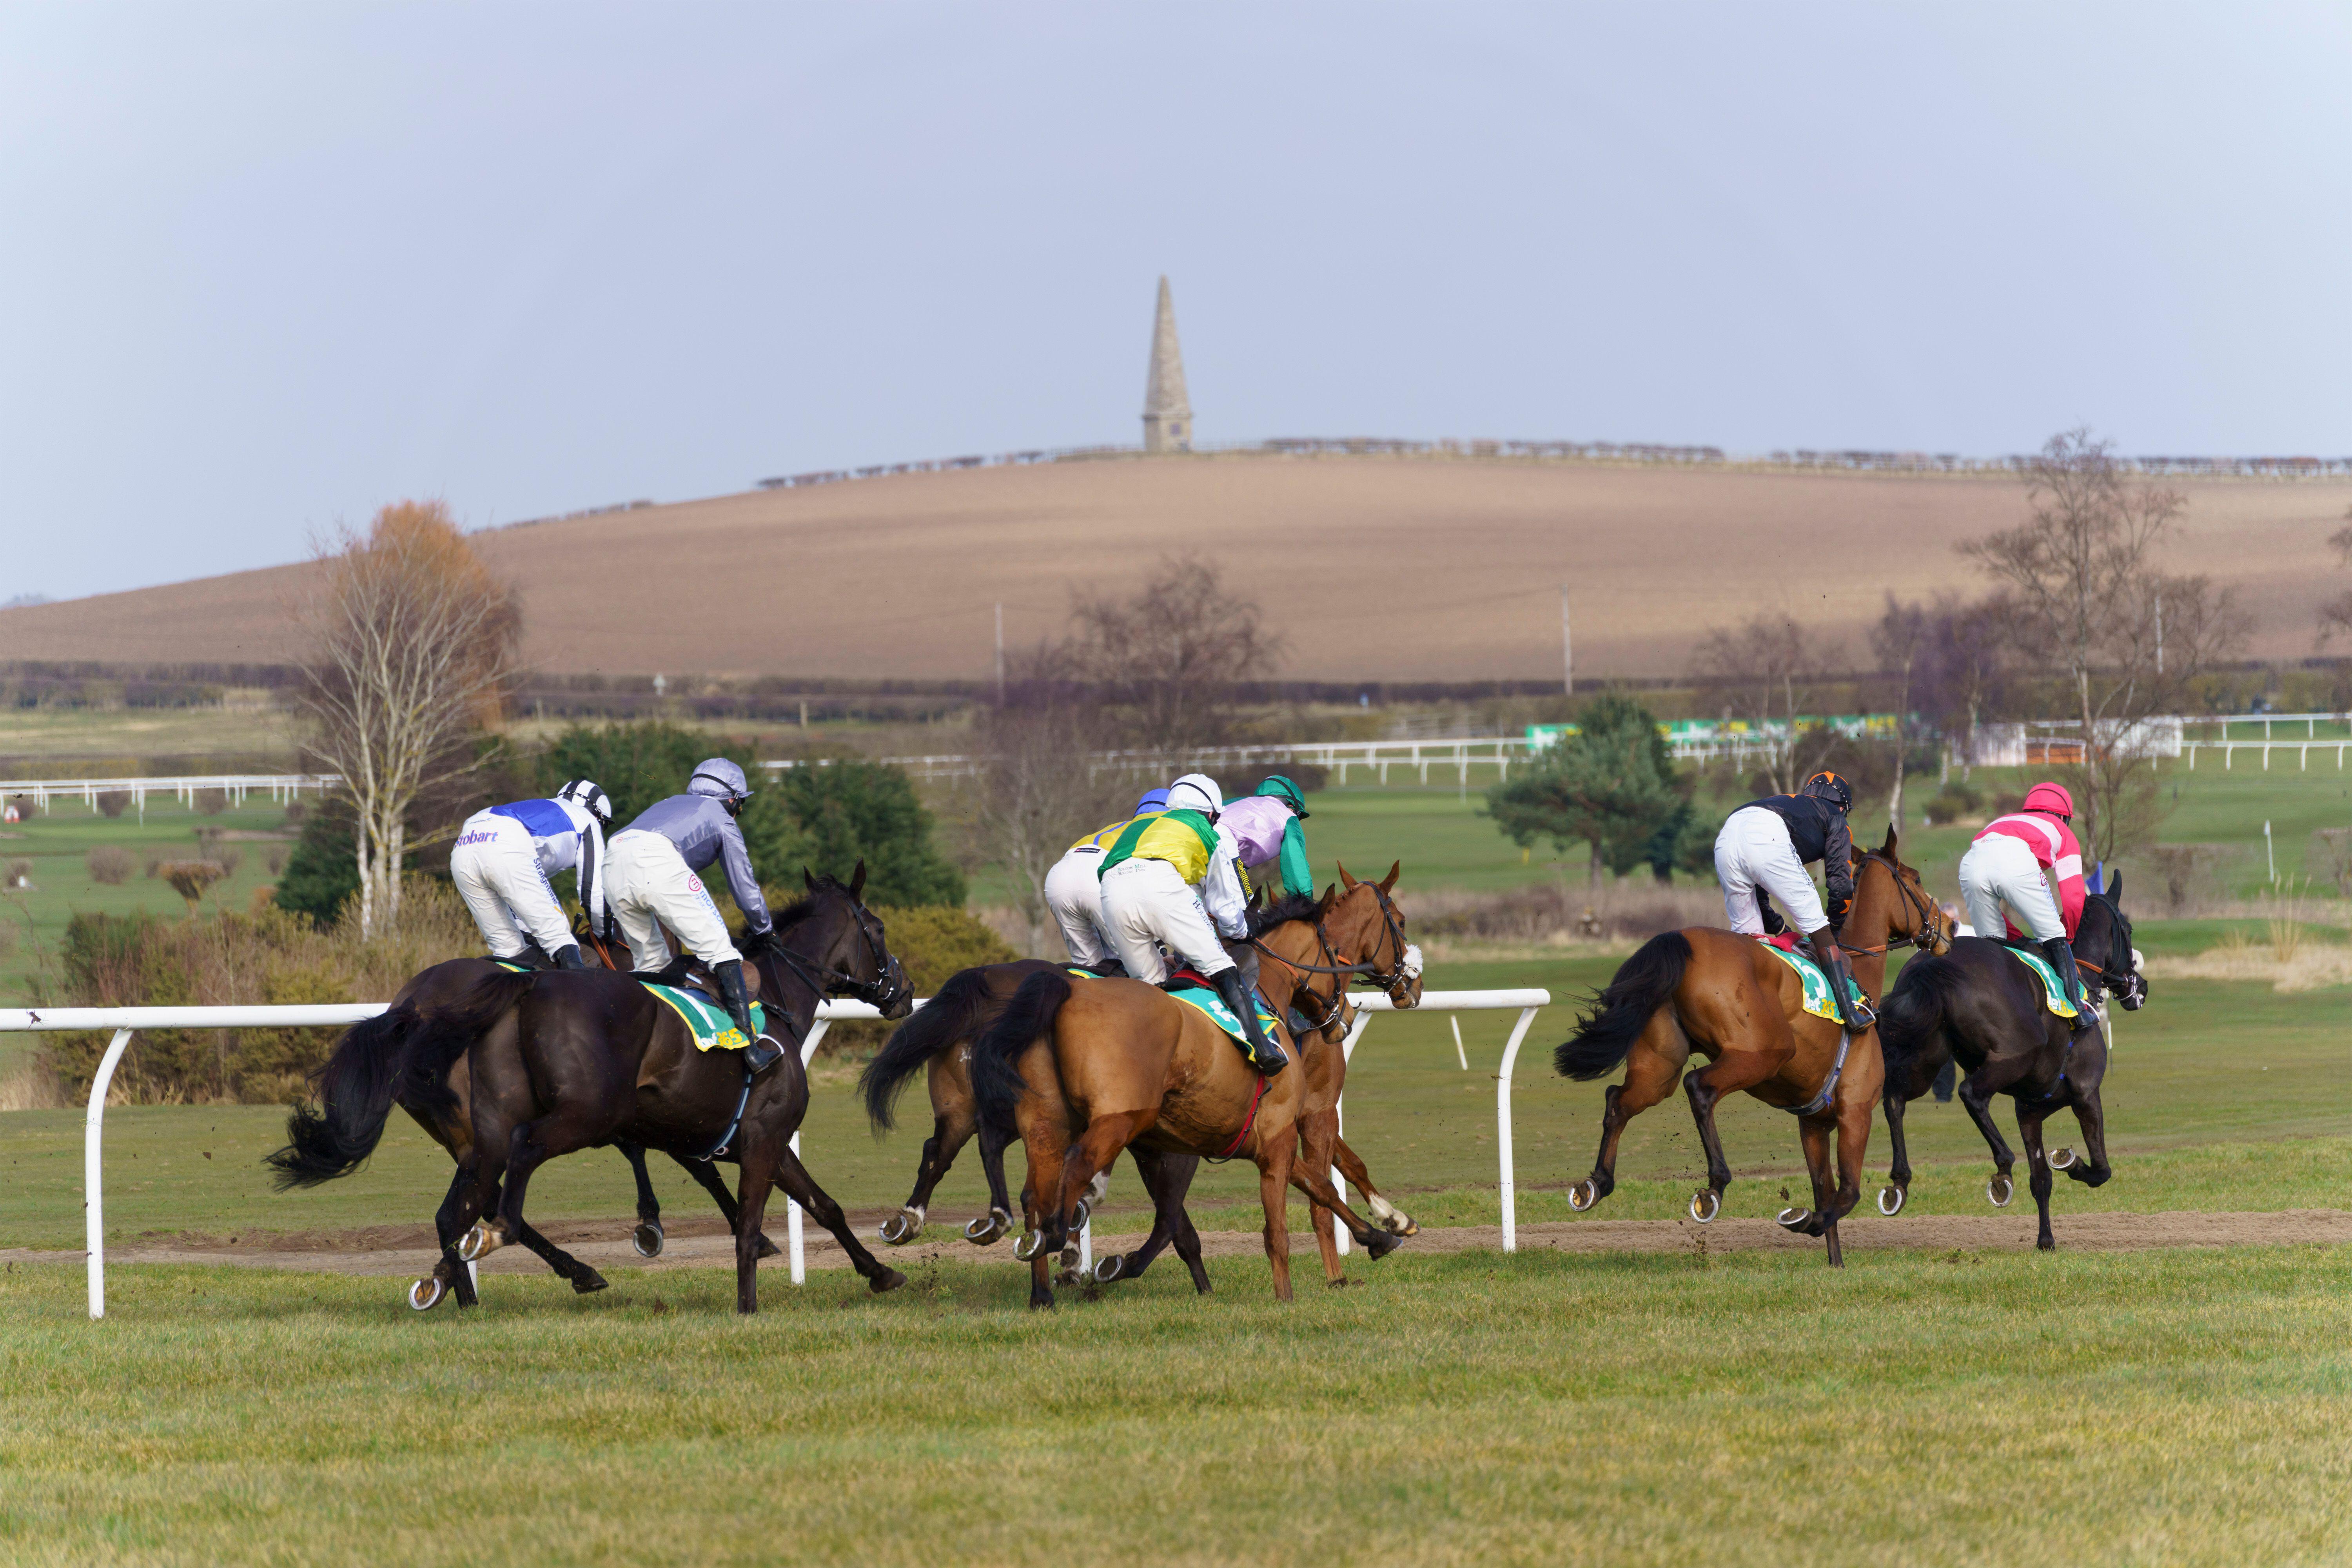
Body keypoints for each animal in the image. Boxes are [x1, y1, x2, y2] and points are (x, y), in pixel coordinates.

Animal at [964, 879, 1402, 1307]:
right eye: (1397, 921)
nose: (1344, 1016)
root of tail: (1064, 990)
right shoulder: (1277, 1134)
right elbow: (1277, 1228)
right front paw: (1287, 1298)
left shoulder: (1258, 1138)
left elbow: (1321, 1186)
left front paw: (1380, 1236)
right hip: (1118, 1121)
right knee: (1076, 1166)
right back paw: (1056, 1236)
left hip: (1045, 1122)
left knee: (1034, 1194)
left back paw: (1040, 1285)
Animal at [1552, 827, 1957, 1269]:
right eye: (1916, 879)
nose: (1951, 926)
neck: (1860, 973)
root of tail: (1681, 939)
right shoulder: (1856, 1111)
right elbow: (1847, 1193)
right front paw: (1805, 1220)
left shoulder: (1814, 1123)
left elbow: (1827, 1193)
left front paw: (1835, 1263)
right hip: (1762, 1054)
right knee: (1699, 1087)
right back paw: (1714, 1185)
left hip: (1660, 1066)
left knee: (1620, 1099)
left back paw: (1595, 1184)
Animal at [1872, 869, 2154, 1250]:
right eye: (2128, 929)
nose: (2140, 987)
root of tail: (1934, 961)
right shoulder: (2086, 1094)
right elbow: (2100, 1169)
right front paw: (2070, 1162)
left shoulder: (2029, 1111)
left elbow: (2042, 1180)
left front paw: (2046, 1240)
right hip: (2015, 1055)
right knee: (1970, 1094)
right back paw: (2003, 1168)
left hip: (1927, 1055)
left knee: (1895, 1099)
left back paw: (1899, 1182)